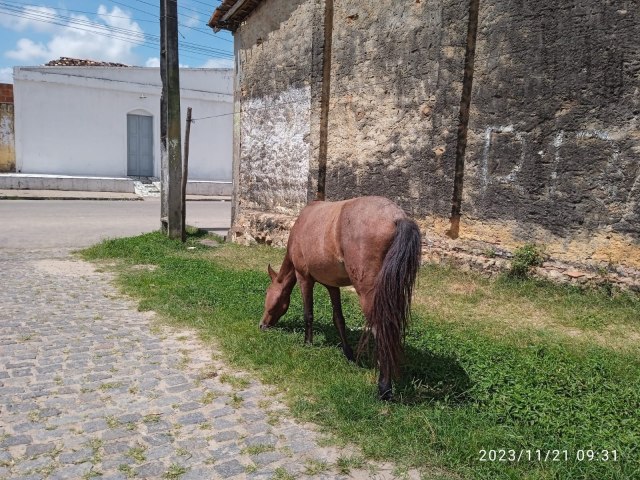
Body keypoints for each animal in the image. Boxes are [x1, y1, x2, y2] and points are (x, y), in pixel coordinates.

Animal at [260, 195, 420, 402]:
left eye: (269, 296)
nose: (262, 325)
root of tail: (395, 217)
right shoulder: (332, 286)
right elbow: (339, 319)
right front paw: (348, 353)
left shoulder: (304, 278)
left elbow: (308, 314)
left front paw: (307, 344)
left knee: (380, 329)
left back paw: (384, 388)